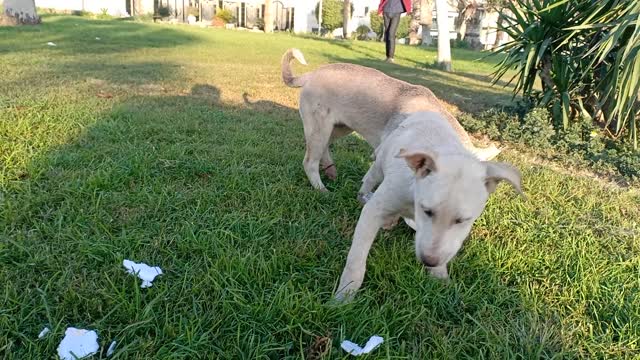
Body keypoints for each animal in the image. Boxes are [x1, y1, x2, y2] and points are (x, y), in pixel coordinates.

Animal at [336, 110, 520, 300]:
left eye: (462, 221)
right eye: (427, 211)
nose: (429, 262)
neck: (414, 196)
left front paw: (440, 277)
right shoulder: (374, 211)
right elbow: (356, 258)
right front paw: (345, 294)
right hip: (381, 162)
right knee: (370, 177)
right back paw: (364, 195)